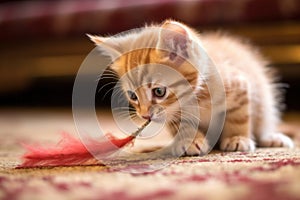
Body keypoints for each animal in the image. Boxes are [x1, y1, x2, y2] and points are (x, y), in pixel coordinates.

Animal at [88, 19, 292, 156]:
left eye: (159, 92)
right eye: (133, 96)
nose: (145, 116)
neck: (195, 98)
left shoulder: (239, 85)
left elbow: (239, 116)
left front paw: (237, 138)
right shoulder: (173, 115)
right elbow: (183, 125)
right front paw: (190, 140)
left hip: (265, 102)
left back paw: (272, 138)